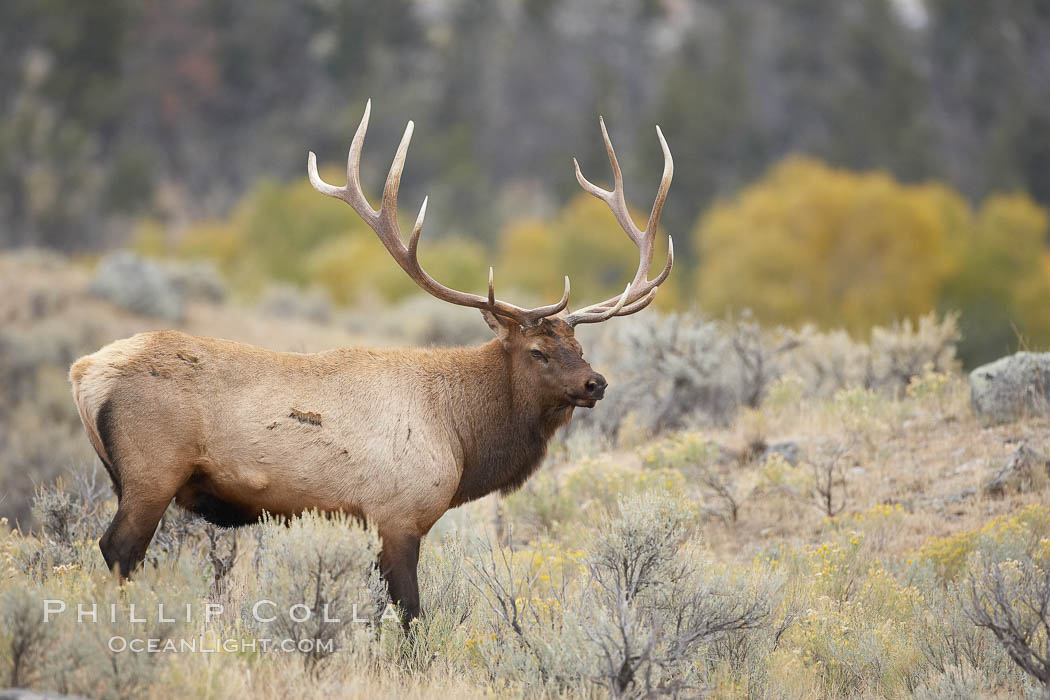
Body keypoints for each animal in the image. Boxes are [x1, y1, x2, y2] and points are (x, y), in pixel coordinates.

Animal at [67, 101, 672, 621]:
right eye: (538, 351)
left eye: (580, 347)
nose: (595, 383)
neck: (461, 436)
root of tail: (84, 373)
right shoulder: (398, 514)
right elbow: (410, 614)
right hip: (152, 472)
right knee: (117, 549)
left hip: (128, 477)